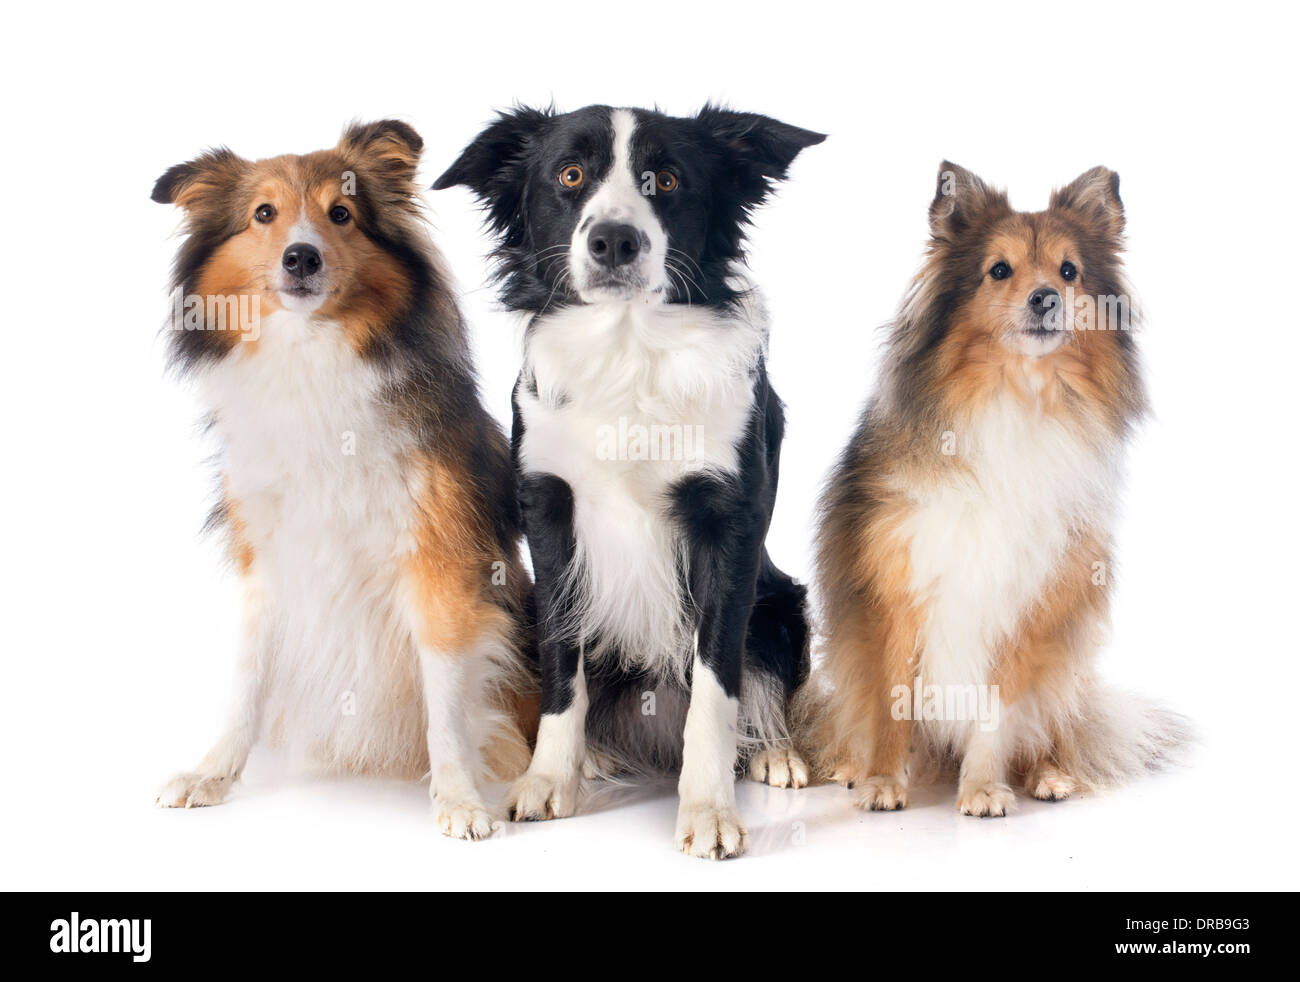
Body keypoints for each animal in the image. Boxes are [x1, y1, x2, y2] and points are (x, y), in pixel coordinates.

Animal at [149, 117, 535, 837]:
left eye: (341, 214)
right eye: (263, 213)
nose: (301, 258)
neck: (312, 357)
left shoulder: (438, 560)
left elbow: (446, 699)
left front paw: (459, 798)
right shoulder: (269, 558)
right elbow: (246, 682)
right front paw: (212, 773)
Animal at [806, 165, 1185, 816]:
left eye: (1069, 271)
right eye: (999, 270)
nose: (1045, 298)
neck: (1015, 395)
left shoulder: (1028, 600)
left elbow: (998, 708)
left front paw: (984, 788)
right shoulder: (896, 589)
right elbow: (891, 699)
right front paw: (883, 781)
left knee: (1057, 726)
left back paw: (1051, 775)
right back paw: (854, 769)